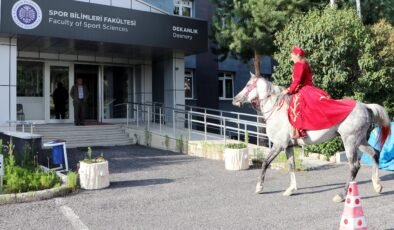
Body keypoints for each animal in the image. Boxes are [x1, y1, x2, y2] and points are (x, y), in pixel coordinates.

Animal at [232, 73, 390, 202]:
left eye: (248, 85)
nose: (235, 99)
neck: (277, 109)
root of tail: (365, 106)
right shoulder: (288, 146)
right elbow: (291, 166)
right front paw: (291, 189)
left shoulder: (278, 145)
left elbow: (265, 163)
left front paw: (259, 187)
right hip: (360, 140)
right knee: (375, 154)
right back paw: (377, 185)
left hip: (350, 142)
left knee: (354, 166)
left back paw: (341, 195)